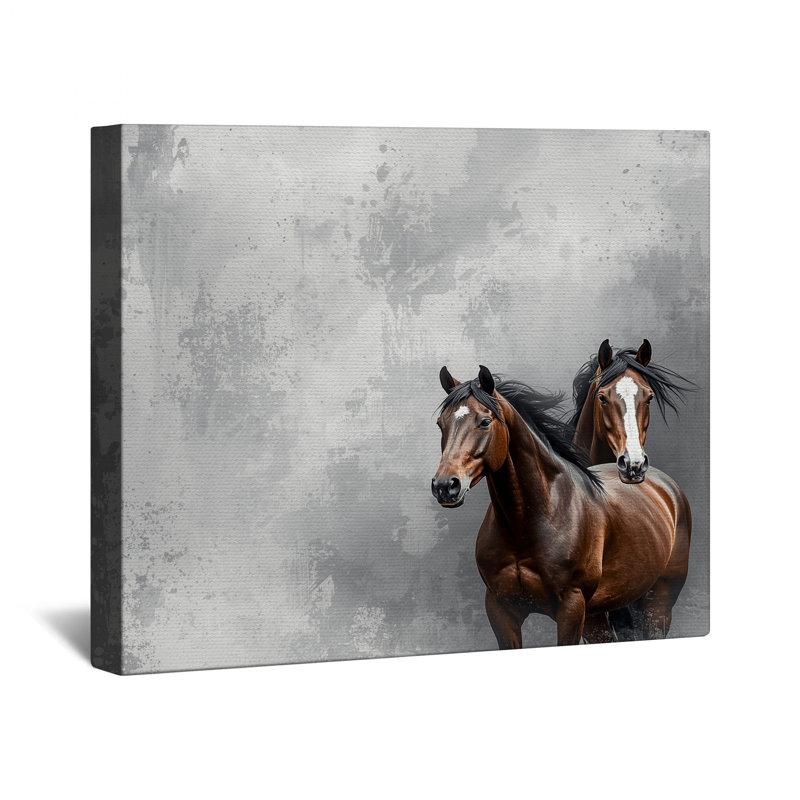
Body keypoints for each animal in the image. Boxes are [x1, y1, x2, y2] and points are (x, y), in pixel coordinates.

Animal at [431, 365, 691, 648]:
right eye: (441, 423)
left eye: (485, 422)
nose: (445, 486)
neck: (526, 522)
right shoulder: (500, 609)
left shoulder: (571, 608)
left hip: (659, 602)